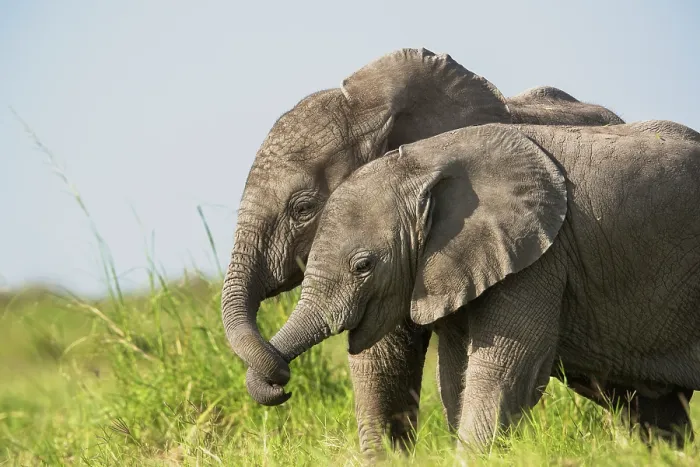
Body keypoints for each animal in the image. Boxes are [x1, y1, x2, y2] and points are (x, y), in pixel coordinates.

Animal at [245, 120, 700, 451]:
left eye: (363, 266)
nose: (280, 384)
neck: (425, 162)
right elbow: (454, 377)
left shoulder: (539, 258)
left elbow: (506, 370)